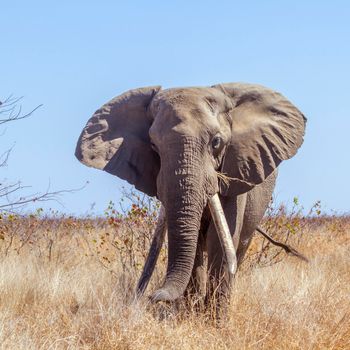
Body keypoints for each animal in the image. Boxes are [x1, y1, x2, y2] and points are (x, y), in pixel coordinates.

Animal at [76, 83, 306, 308]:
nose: (153, 296)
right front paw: (191, 312)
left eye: (216, 142)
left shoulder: (236, 168)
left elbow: (221, 240)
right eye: (153, 145)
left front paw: (214, 318)